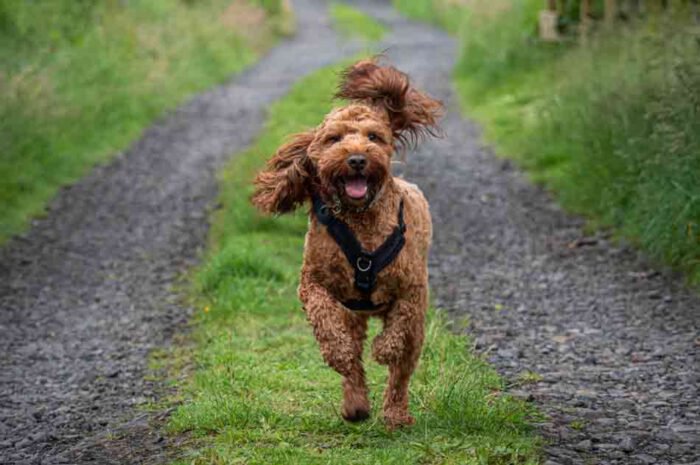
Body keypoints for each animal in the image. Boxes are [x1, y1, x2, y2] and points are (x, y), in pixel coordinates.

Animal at [252, 59, 442, 428]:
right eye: (334, 138)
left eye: (374, 137)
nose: (356, 159)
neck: (361, 220)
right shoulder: (312, 283)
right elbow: (325, 322)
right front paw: (338, 352)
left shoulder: (411, 289)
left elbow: (398, 329)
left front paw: (384, 348)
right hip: (353, 315)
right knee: (354, 363)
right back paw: (355, 404)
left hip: (416, 327)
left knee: (401, 371)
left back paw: (396, 414)